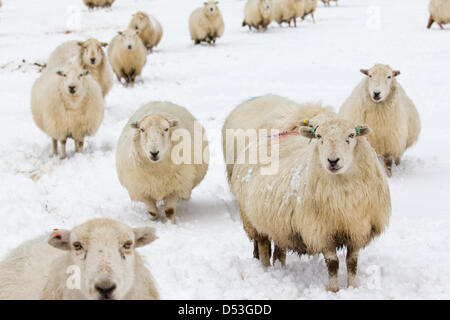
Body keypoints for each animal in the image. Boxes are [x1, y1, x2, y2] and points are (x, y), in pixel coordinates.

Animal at [225, 95, 390, 292]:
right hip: (253, 220)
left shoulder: (357, 229)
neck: (342, 189)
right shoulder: (321, 232)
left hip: (279, 224)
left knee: (279, 249)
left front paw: (353, 287)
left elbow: (352, 262)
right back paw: (265, 270)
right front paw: (333, 290)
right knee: (263, 246)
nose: (332, 161)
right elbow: (333, 263)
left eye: (351, 135)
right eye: (319, 136)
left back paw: (281, 268)